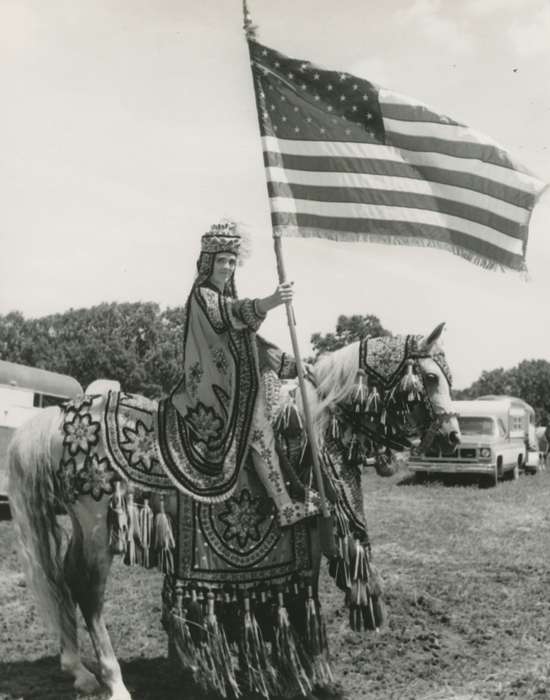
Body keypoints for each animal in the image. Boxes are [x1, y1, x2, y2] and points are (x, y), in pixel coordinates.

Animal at [7, 326, 462, 700]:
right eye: (431, 378)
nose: (454, 436)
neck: (310, 434)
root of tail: (54, 417)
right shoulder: (308, 547)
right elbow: (300, 604)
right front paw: (302, 675)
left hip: (83, 527)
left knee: (64, 579)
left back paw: (78, 670)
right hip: (98, 527)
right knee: (88, 594)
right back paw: (113, 681)